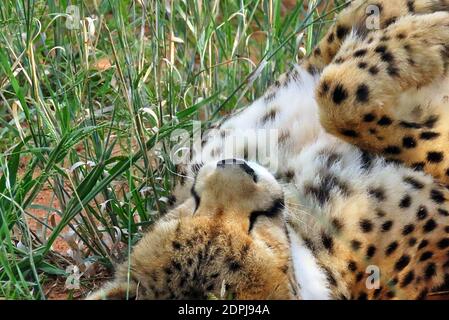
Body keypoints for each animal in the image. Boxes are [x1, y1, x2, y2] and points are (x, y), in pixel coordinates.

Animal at [86, 0, 448, 300]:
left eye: (194, 205)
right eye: (256, 223)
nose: (235, 167)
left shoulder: (306, 71)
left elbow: (344, 40)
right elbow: (340, 97)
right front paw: (435, 33)